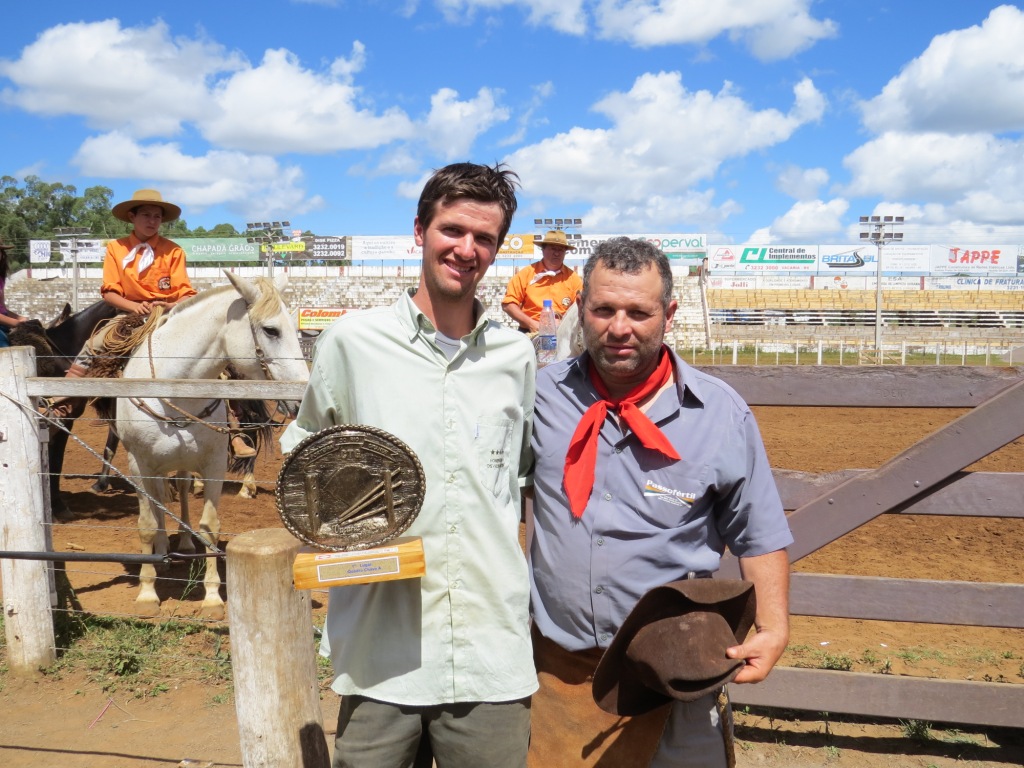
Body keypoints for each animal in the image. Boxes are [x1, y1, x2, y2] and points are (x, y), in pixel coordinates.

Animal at [116, 274, 307, 622]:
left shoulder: (214, 465)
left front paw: (212, 598)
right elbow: (147, 526)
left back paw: (184, 545)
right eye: (271, 330)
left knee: (179, 489)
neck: (173, 391)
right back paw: (162, 550)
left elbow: (210, 527)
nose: (300, 398)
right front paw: (147, 593)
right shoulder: (138, 464)